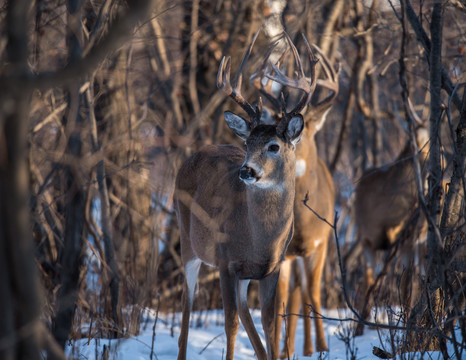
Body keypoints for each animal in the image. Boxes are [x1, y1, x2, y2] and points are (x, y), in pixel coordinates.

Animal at [173, 31, 318, 360]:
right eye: (248, 143)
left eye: (274, 146)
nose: (246, 170)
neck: (260, 238)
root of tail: (192, 156)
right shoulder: (226, 261)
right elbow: (229, 325)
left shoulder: (272, 267)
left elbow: (269, 323)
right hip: (188, 242)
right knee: (187, 307)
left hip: (243, 273)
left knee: (243, 310)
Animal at [251, 37, 338, 358]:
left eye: (306, 129)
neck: (302, 225)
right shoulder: (285, 254)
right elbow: (280, 303)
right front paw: (282, 349)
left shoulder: (321, 242)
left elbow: (315, 293)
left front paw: (324, 348)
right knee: (296, 295)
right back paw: (301, 346)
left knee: (307, 292)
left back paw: (312, 347)